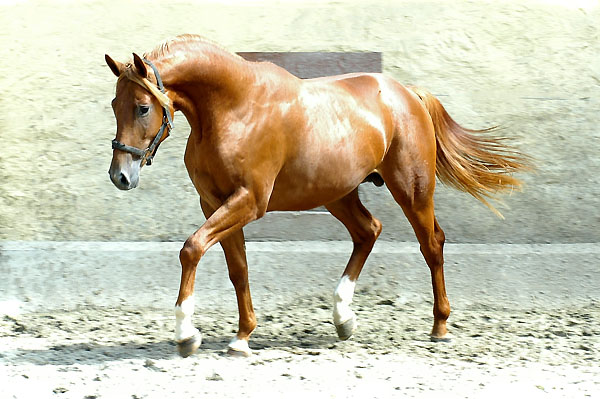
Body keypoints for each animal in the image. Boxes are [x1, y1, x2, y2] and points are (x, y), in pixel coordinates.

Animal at [105, 34, 528, 358]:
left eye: (142, 107)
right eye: (114, 104)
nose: (120, 176)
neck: (233, 109)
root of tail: (409, 94)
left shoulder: (249, 201)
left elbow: (191, 248)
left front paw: (186, 335)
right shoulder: (214, 202)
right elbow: (238, 269)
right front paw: (241, 338)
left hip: (411, 189)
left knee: (431, 244)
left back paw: (439, 326)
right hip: (336, 193)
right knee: (368, 231)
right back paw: (344, 318)